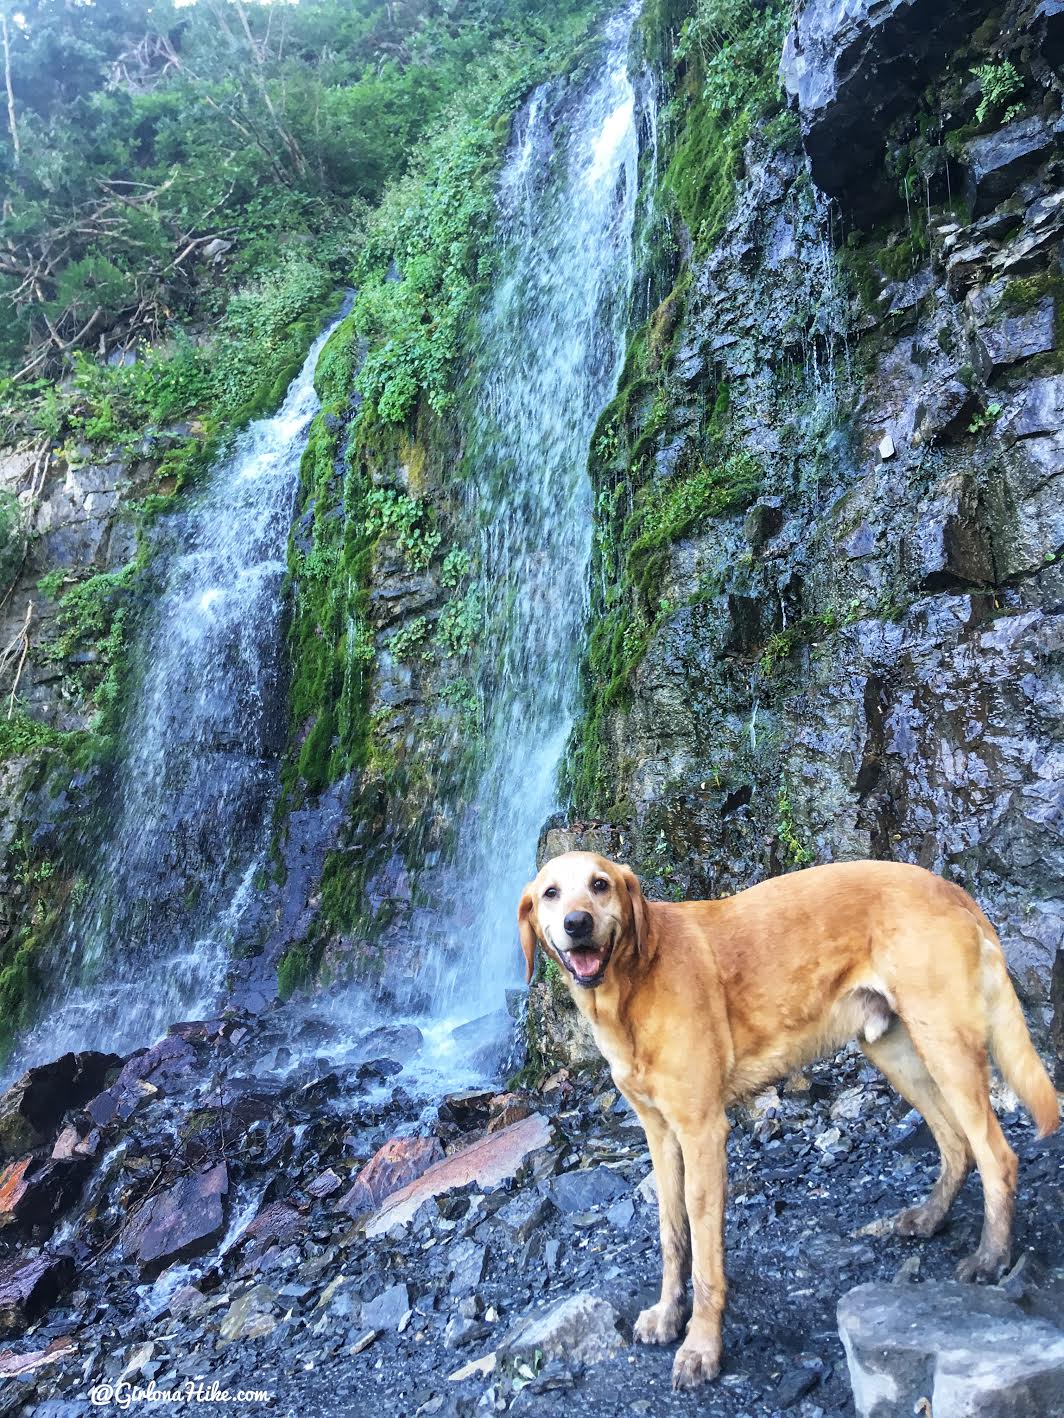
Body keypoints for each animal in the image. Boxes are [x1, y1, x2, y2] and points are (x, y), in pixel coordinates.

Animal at [516, 850, 1061, 1383]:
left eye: (600, 884)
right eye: (551, 893)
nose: (577, 923)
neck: (628, 991)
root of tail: (949, 887)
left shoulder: (702, 1133)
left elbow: (705, 1260)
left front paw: (702, 1346)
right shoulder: (661, 1137)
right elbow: (672, 1238)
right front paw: (669, 1315)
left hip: (947, 1047)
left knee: (996, 1155)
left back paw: (991, 1257)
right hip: (897, 1049)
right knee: (956, 1143)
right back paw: (928, 1218)